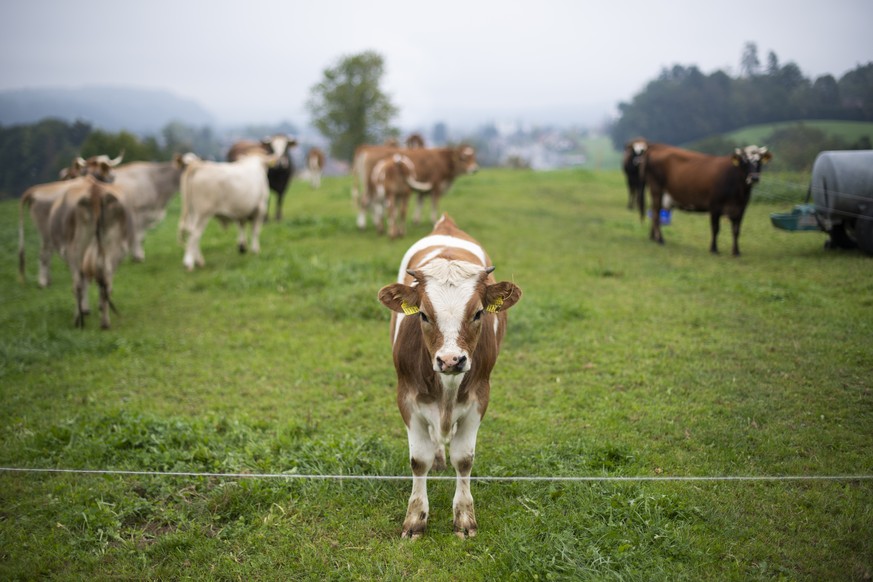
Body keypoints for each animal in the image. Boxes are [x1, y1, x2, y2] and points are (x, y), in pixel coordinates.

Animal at [47, 176, 133, 330]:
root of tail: (95, 190)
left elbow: (84, 282)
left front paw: (85, 310)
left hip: (75, 250)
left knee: (77, 285)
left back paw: (78, 321)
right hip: (115, 249)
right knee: (106, 282)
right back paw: (105, 322)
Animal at [374, 216, 516, 544]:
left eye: (478, 313)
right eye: (424, 315)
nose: (451, 360)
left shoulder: (479, 398)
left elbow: (464, 459)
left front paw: (464, 518)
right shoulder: (406, 399)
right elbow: (419, 460)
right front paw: (415, 519)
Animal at [636, 144, 772, 256]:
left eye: (759, 160)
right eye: (744, 161)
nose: (754, 178)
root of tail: (656, 147)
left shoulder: (741, 209)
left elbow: (736, 230)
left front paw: (736, 252)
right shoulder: (715, 206)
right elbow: (716, 228)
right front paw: (714, 249)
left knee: (655, 213)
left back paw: (653, 237)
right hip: (657, 190)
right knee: (655, 214)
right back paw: (660, 239)